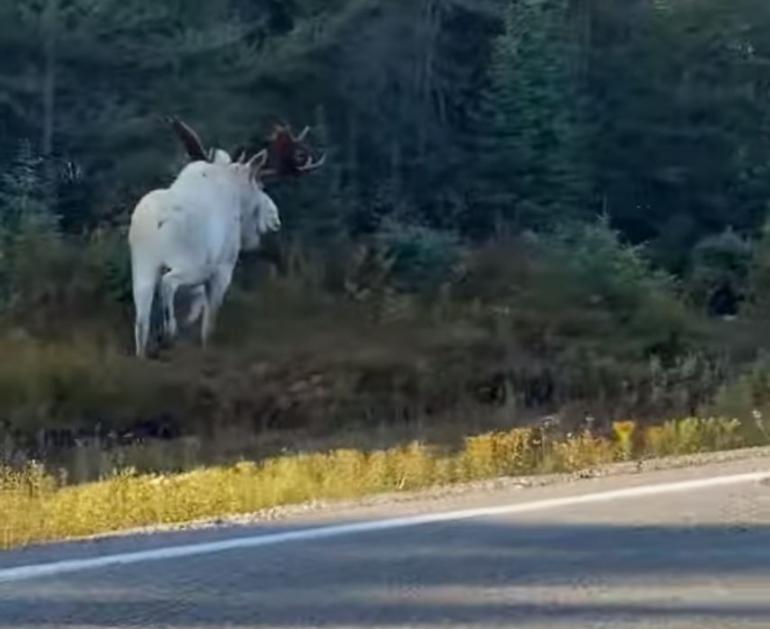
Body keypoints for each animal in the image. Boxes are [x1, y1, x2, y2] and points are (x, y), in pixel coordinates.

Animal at [128, 115, 324, 356]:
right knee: (168, 284)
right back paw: (169, 332)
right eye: (260, 185)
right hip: (191, 264)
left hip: (143, 268)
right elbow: (208, 323)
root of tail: (156, 222)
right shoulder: (222, 270)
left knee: (141, 323)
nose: (275, 218)